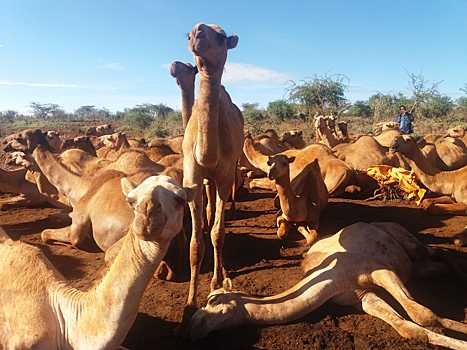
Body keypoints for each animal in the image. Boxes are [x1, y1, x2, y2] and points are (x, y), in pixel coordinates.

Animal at [187, 223, 467, 348]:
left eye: (213, 300)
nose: (193, 325)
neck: (331, 279)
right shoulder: (362, 297)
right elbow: (410, 327)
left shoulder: (380, 270)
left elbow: (422, 314)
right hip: (417, 266)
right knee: (433, 266)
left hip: (407, 242)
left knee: (435, 251)